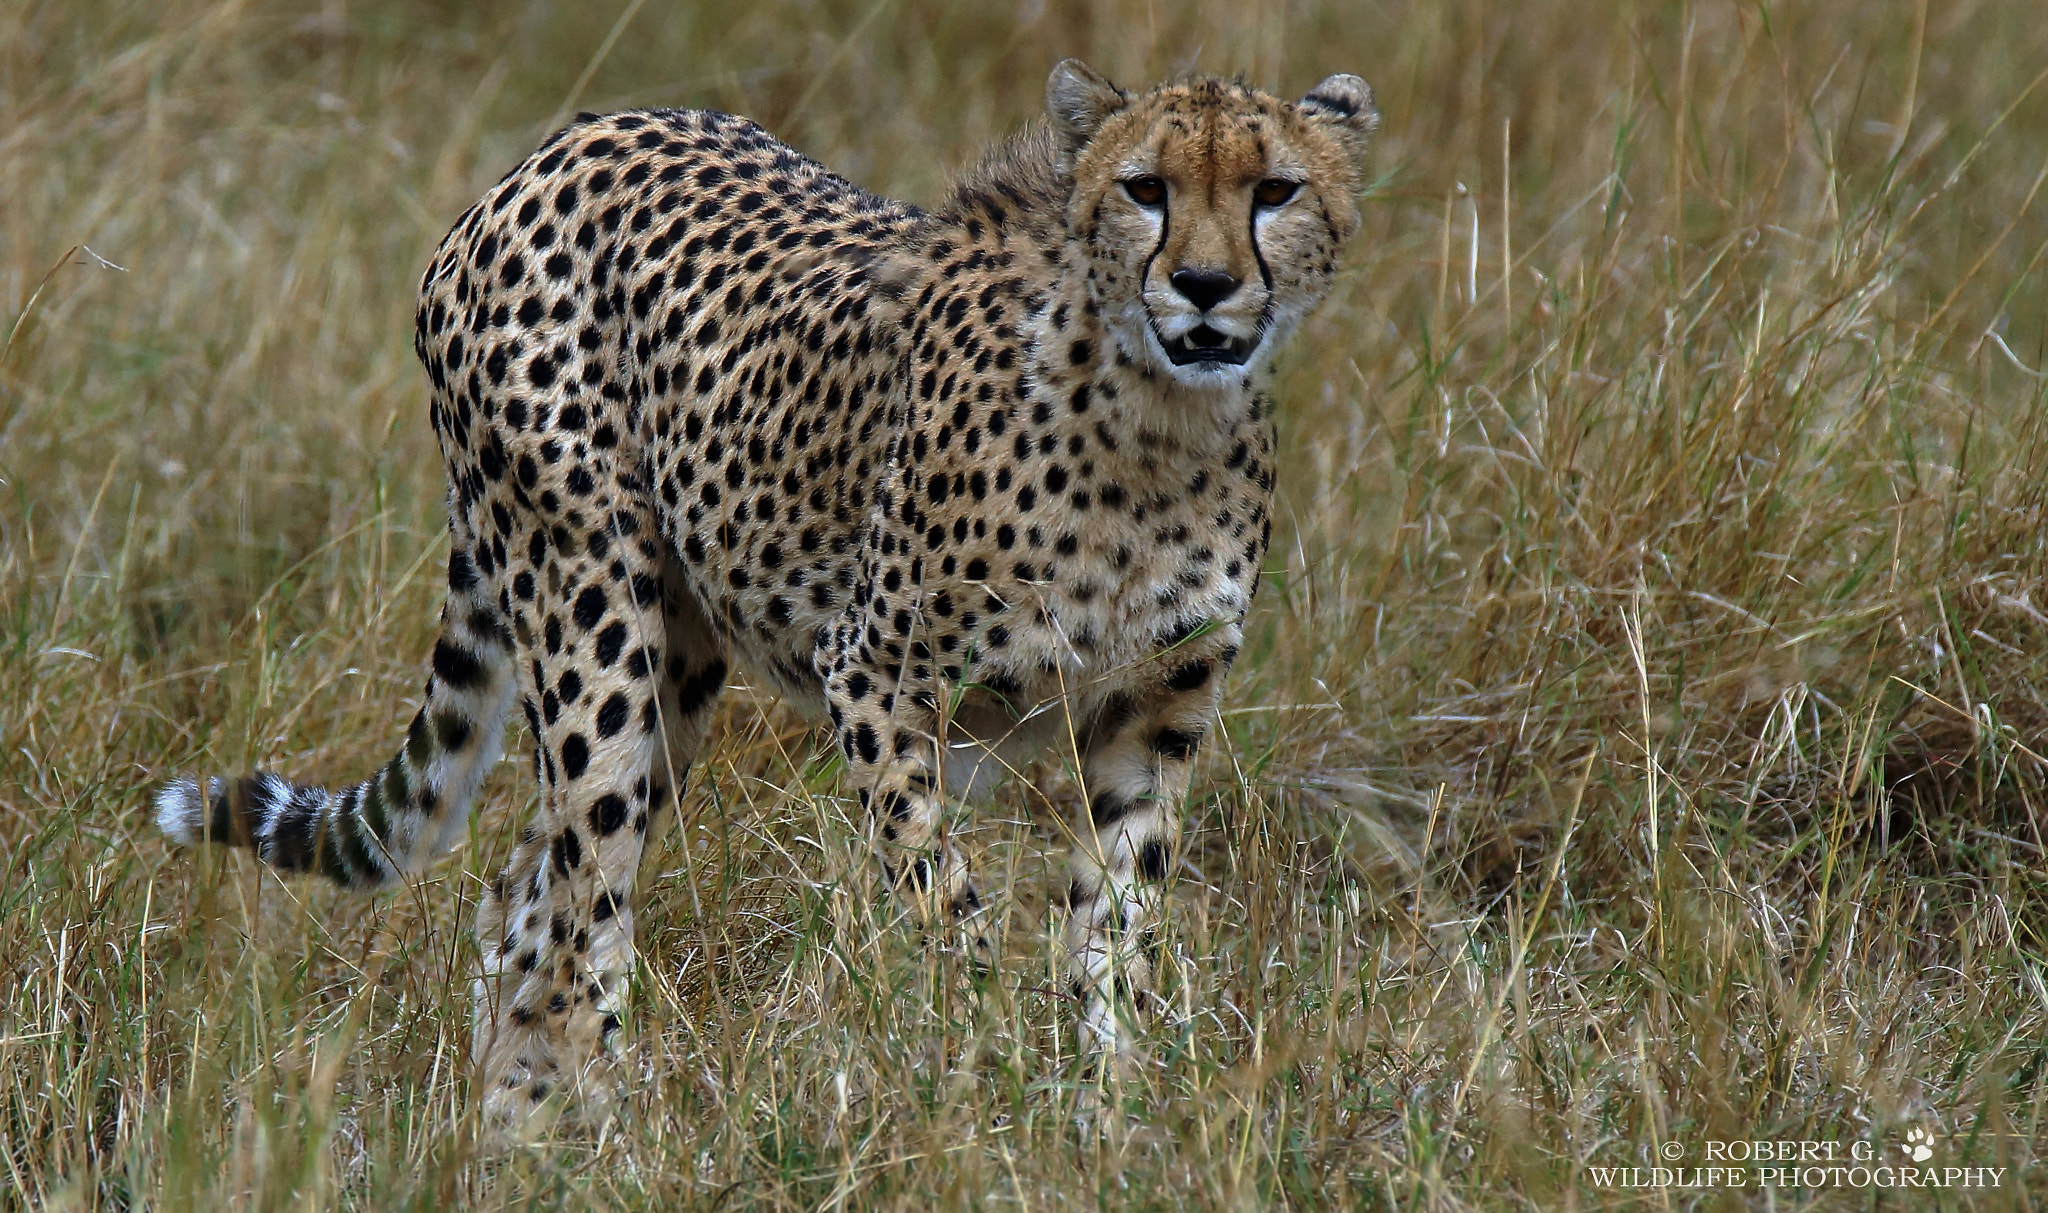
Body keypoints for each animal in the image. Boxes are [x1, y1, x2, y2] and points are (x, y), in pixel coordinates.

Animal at [155, 59, 1376, 1131]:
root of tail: (560, 146)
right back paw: (606, 1129)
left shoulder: (1153, 713)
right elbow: (944, 906)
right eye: (1144, 189)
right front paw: (983, 1087)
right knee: (582, 903)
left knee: (525, 891)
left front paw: (1107, 1114)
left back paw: (510, 1118)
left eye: (1275, 190)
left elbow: (1114, 933)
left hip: (674, 671)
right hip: (593, 616)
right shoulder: (875, 675)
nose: (1206, 287)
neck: (1160, 424)